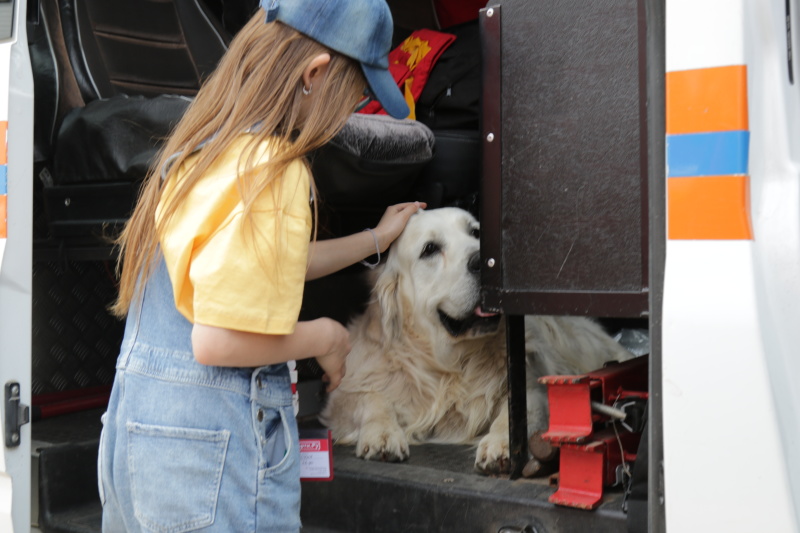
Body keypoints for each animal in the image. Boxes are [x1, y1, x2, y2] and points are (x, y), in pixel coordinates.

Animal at [318, 208, 632, 474]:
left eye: (476, 232)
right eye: (429, 249)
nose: (482, 262)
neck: (452, 366)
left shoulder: (531, 385)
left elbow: (519, 411)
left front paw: (502, 443)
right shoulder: (346, 392)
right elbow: (371, 399)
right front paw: (382, 433)